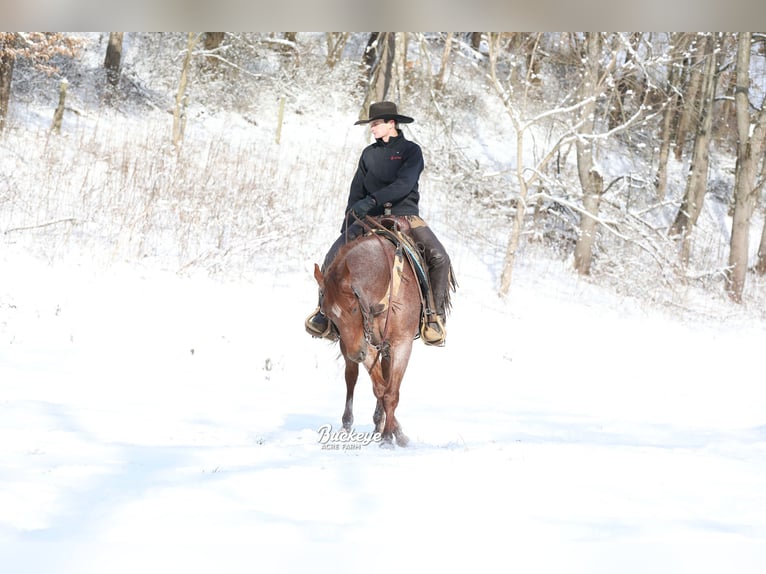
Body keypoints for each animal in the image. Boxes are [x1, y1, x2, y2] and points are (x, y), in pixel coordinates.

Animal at [314, 220, 426, 450]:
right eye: (328, 314)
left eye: (353, 308)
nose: (357, 353)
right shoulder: (364, 344)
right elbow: (381, 388)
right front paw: (391, 433)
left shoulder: (401, 344)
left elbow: (391, 392)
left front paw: (388, 438)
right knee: (352, 378)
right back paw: (352, 425)